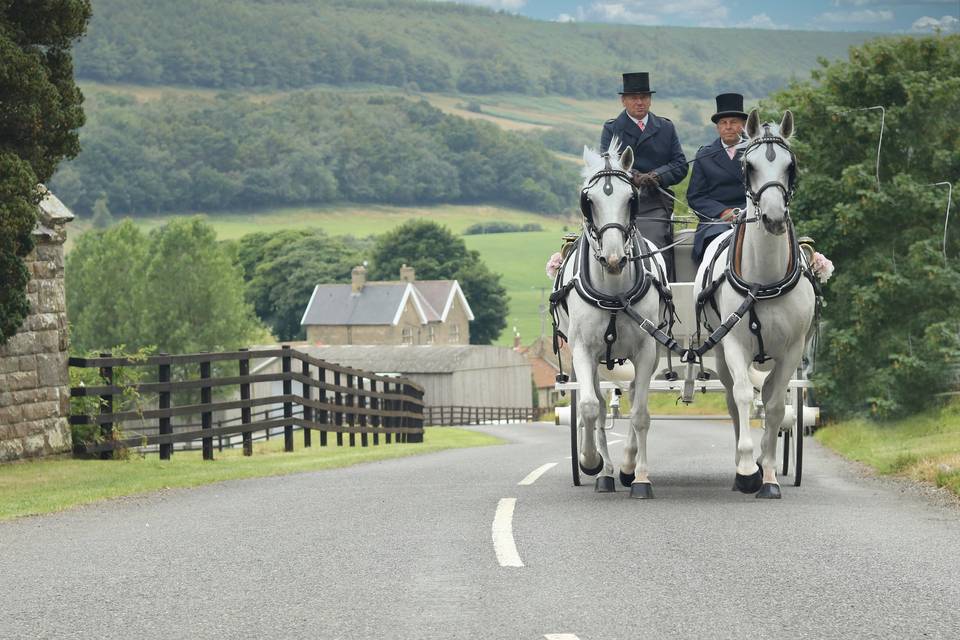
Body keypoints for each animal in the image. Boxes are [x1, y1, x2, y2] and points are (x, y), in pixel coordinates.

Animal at [552, 138, 672, 498]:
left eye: (631, 198)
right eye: (588, 201)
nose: (615, 258)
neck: (614, 290)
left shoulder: (646, 350)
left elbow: (641, 413)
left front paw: (639, 476)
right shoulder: (582, 349)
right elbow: (590, 408)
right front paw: (590, 461)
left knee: (632, 396)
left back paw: (626, 468)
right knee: (600, 406)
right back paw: (604, 473)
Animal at [692, 110, 812, 500]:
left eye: (791, 165)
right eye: (750, 165)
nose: (772, 218)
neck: (764, 280)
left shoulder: (791, 350)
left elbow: (774, 406)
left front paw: (769, 474)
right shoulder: (733, 343)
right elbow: (744, 397)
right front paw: (746, 469)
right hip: (719, 352)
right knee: (733, 400)